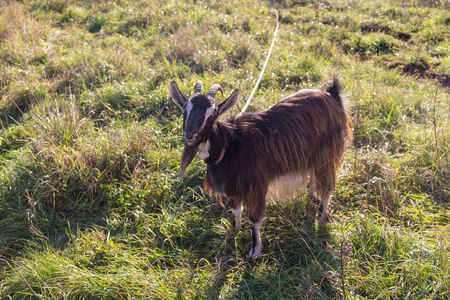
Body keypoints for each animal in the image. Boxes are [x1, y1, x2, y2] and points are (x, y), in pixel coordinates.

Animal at [169, 78, 352, 258]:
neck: (230, 145)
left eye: (213, 113)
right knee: (314, 183)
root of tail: (333, 97)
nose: (190, 133)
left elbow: (254, 219)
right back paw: (309, 205)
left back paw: (320, 220)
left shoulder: (256, 185)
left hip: (328, 154)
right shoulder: (234, 185)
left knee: (327, 188)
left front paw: (254, 251)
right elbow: (236, 210)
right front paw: (235, 232)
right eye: (185, 108)